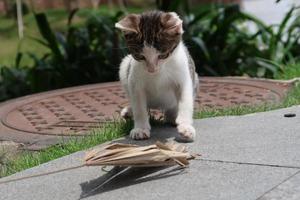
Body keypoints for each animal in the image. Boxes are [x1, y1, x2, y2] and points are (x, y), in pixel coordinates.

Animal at [116, 10, 198, 142]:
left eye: (162, 55)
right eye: (140, 56)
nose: (151, 69)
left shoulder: (185, 75)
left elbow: (186, 100)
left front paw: (186, 127)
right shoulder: (135, 82)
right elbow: (139, 106)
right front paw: (140, 128)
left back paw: (172, 116)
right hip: (125, 66)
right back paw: (130, 111)